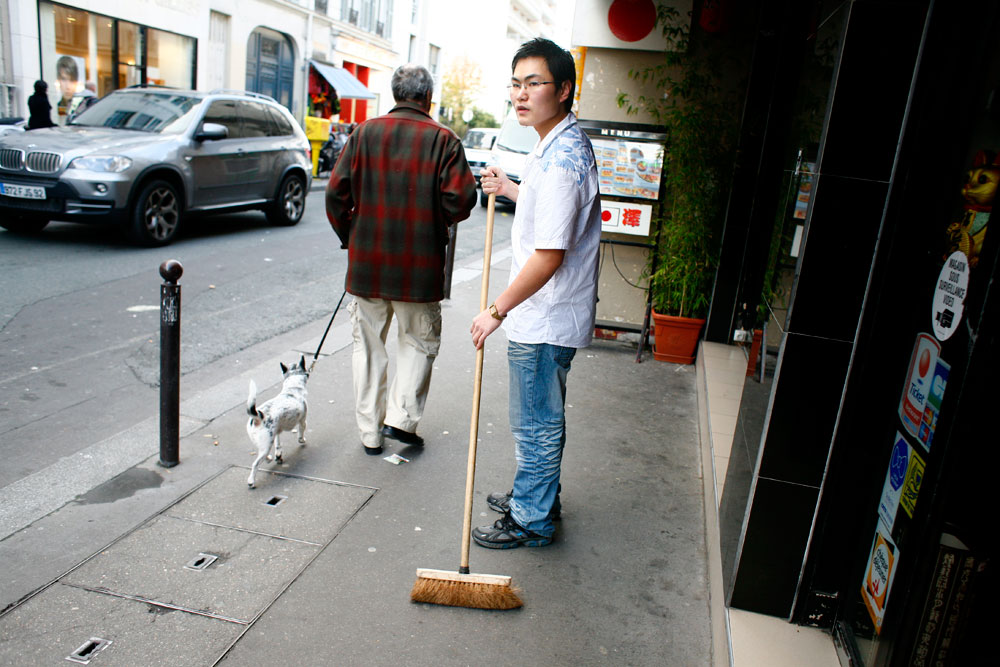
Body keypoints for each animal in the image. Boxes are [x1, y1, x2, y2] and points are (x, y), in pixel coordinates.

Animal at [246, 354, 308, 490]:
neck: (291, 389)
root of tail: (258, 416)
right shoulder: (302, 420)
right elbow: (301, 432)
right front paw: (301, 440)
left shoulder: (277, 431)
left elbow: (278, 443)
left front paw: (278, 454)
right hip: (265, 445)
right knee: (255, 464)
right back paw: (251, 481)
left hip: (263, 442)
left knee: (263, 454)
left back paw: (269, 458)